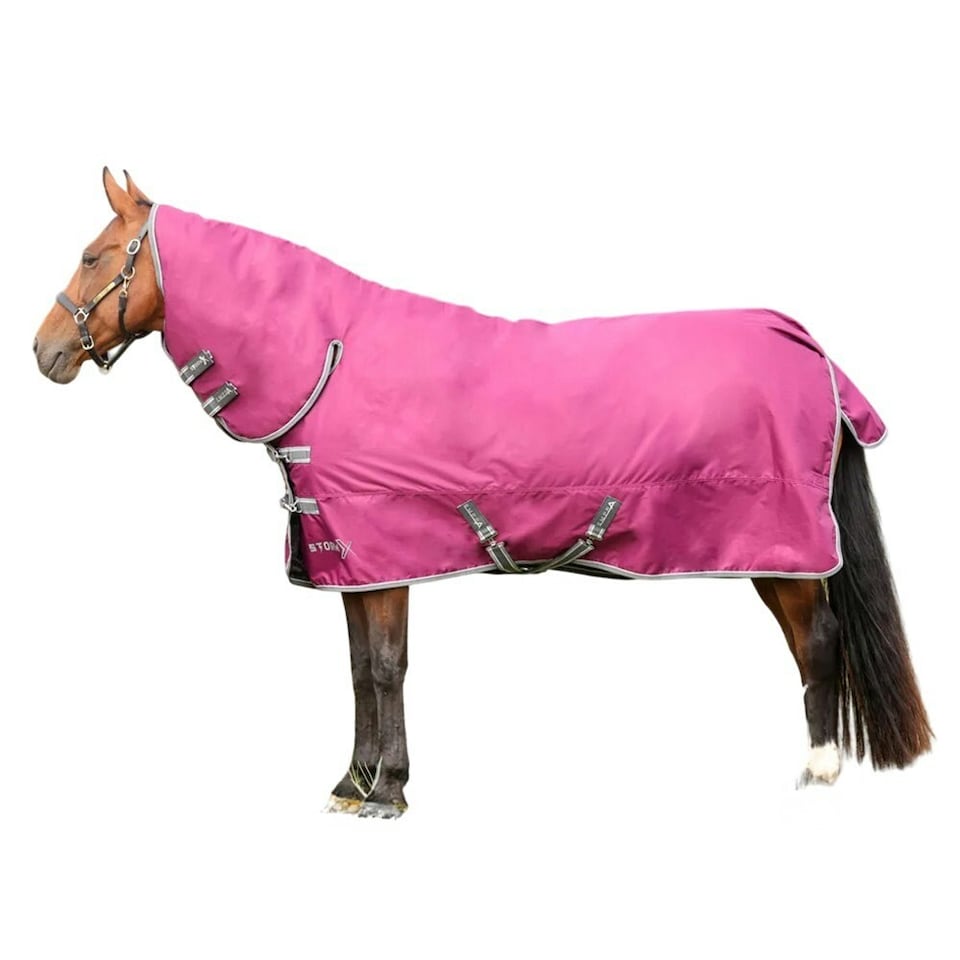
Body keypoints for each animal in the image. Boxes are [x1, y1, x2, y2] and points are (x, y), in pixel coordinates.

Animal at [33, 169, 932, 817]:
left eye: (93, 256)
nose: (43, 352)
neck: (333, 357)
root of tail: (808, 345)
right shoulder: (353, 560)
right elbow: (358, 670)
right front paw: (352, 784)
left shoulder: (389, 558)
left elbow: (386, 667)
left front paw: (387, 792)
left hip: (783, 545)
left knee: (819, 639)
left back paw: (820, 770)